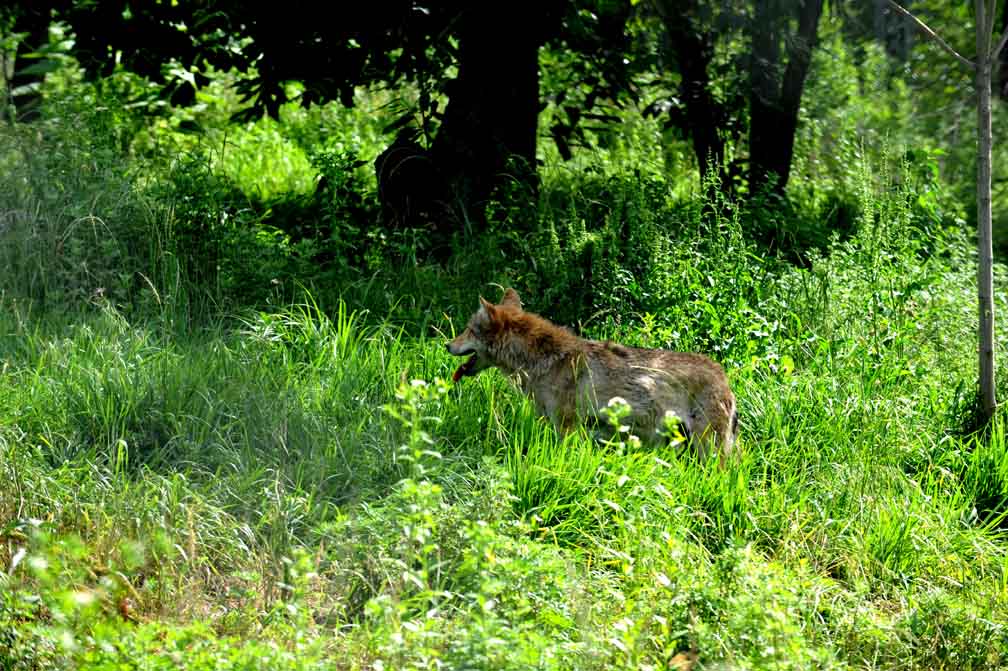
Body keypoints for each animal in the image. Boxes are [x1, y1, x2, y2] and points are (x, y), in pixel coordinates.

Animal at [449, 284, 741, 463]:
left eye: (468, 330)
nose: (446, 345)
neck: (543, 361)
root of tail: (724, 377)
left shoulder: (567, 428)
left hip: (709, 450)